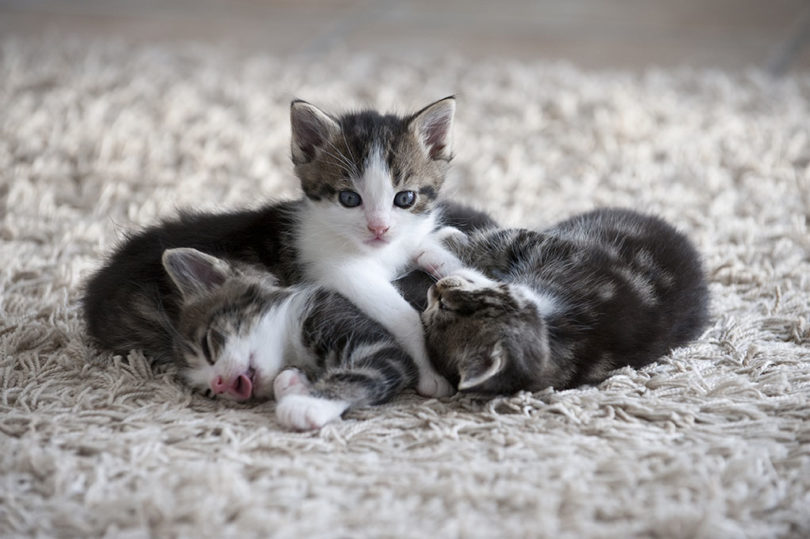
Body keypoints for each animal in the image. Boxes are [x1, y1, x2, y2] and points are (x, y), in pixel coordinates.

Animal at [83, 97, 492, 396]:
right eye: (349, 198)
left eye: (405, 198)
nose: (379, 227)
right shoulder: (339, 271)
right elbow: (402, 315)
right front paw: (430, 374)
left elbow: (437, 249)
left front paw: (469, 276)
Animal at [163, 248, 416, 430]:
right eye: (208, 392)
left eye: (207, 345)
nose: (219, 384)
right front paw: (293, 384)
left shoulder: (378, 343)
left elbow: (360, 374)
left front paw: (308, 404)